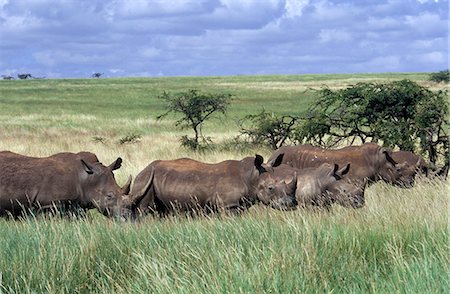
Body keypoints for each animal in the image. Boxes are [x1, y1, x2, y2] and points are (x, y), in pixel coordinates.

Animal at [128, 154, 298, 216]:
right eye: (270, 188)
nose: (290, 204)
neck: (252, 176)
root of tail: (141, 172)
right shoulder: (229, 206)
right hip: (145, 180)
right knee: (144, 208)